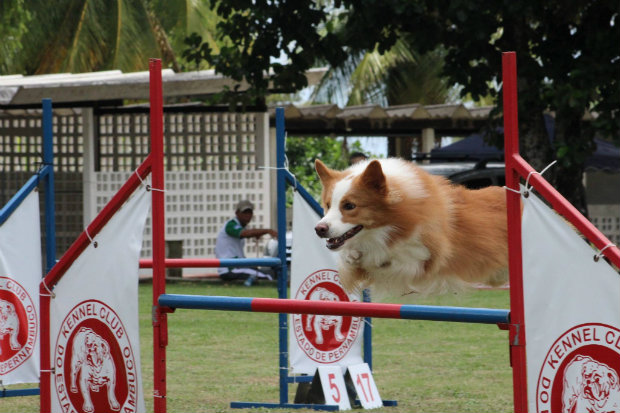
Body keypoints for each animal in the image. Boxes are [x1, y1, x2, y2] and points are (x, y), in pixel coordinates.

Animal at [314, 158, 508, 296]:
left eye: (349, 206)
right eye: (328, 205)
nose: (319, 229)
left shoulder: (426, 259)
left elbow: (392, 259)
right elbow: (349, 261)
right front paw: (352, 255)